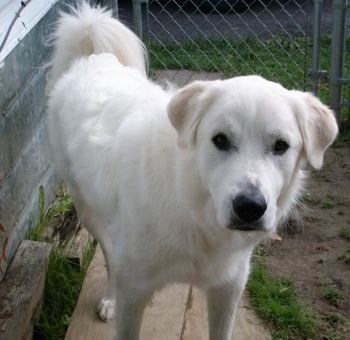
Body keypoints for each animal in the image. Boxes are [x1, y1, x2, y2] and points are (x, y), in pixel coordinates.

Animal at [47, 3, 340, 340]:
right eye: (220, 140)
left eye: (281, 146)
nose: (250, 208)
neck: (194, 208)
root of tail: (93, 57)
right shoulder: (133, 289)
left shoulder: (228, 287)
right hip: (88, 213)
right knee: (108, 255)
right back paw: (109, 299)